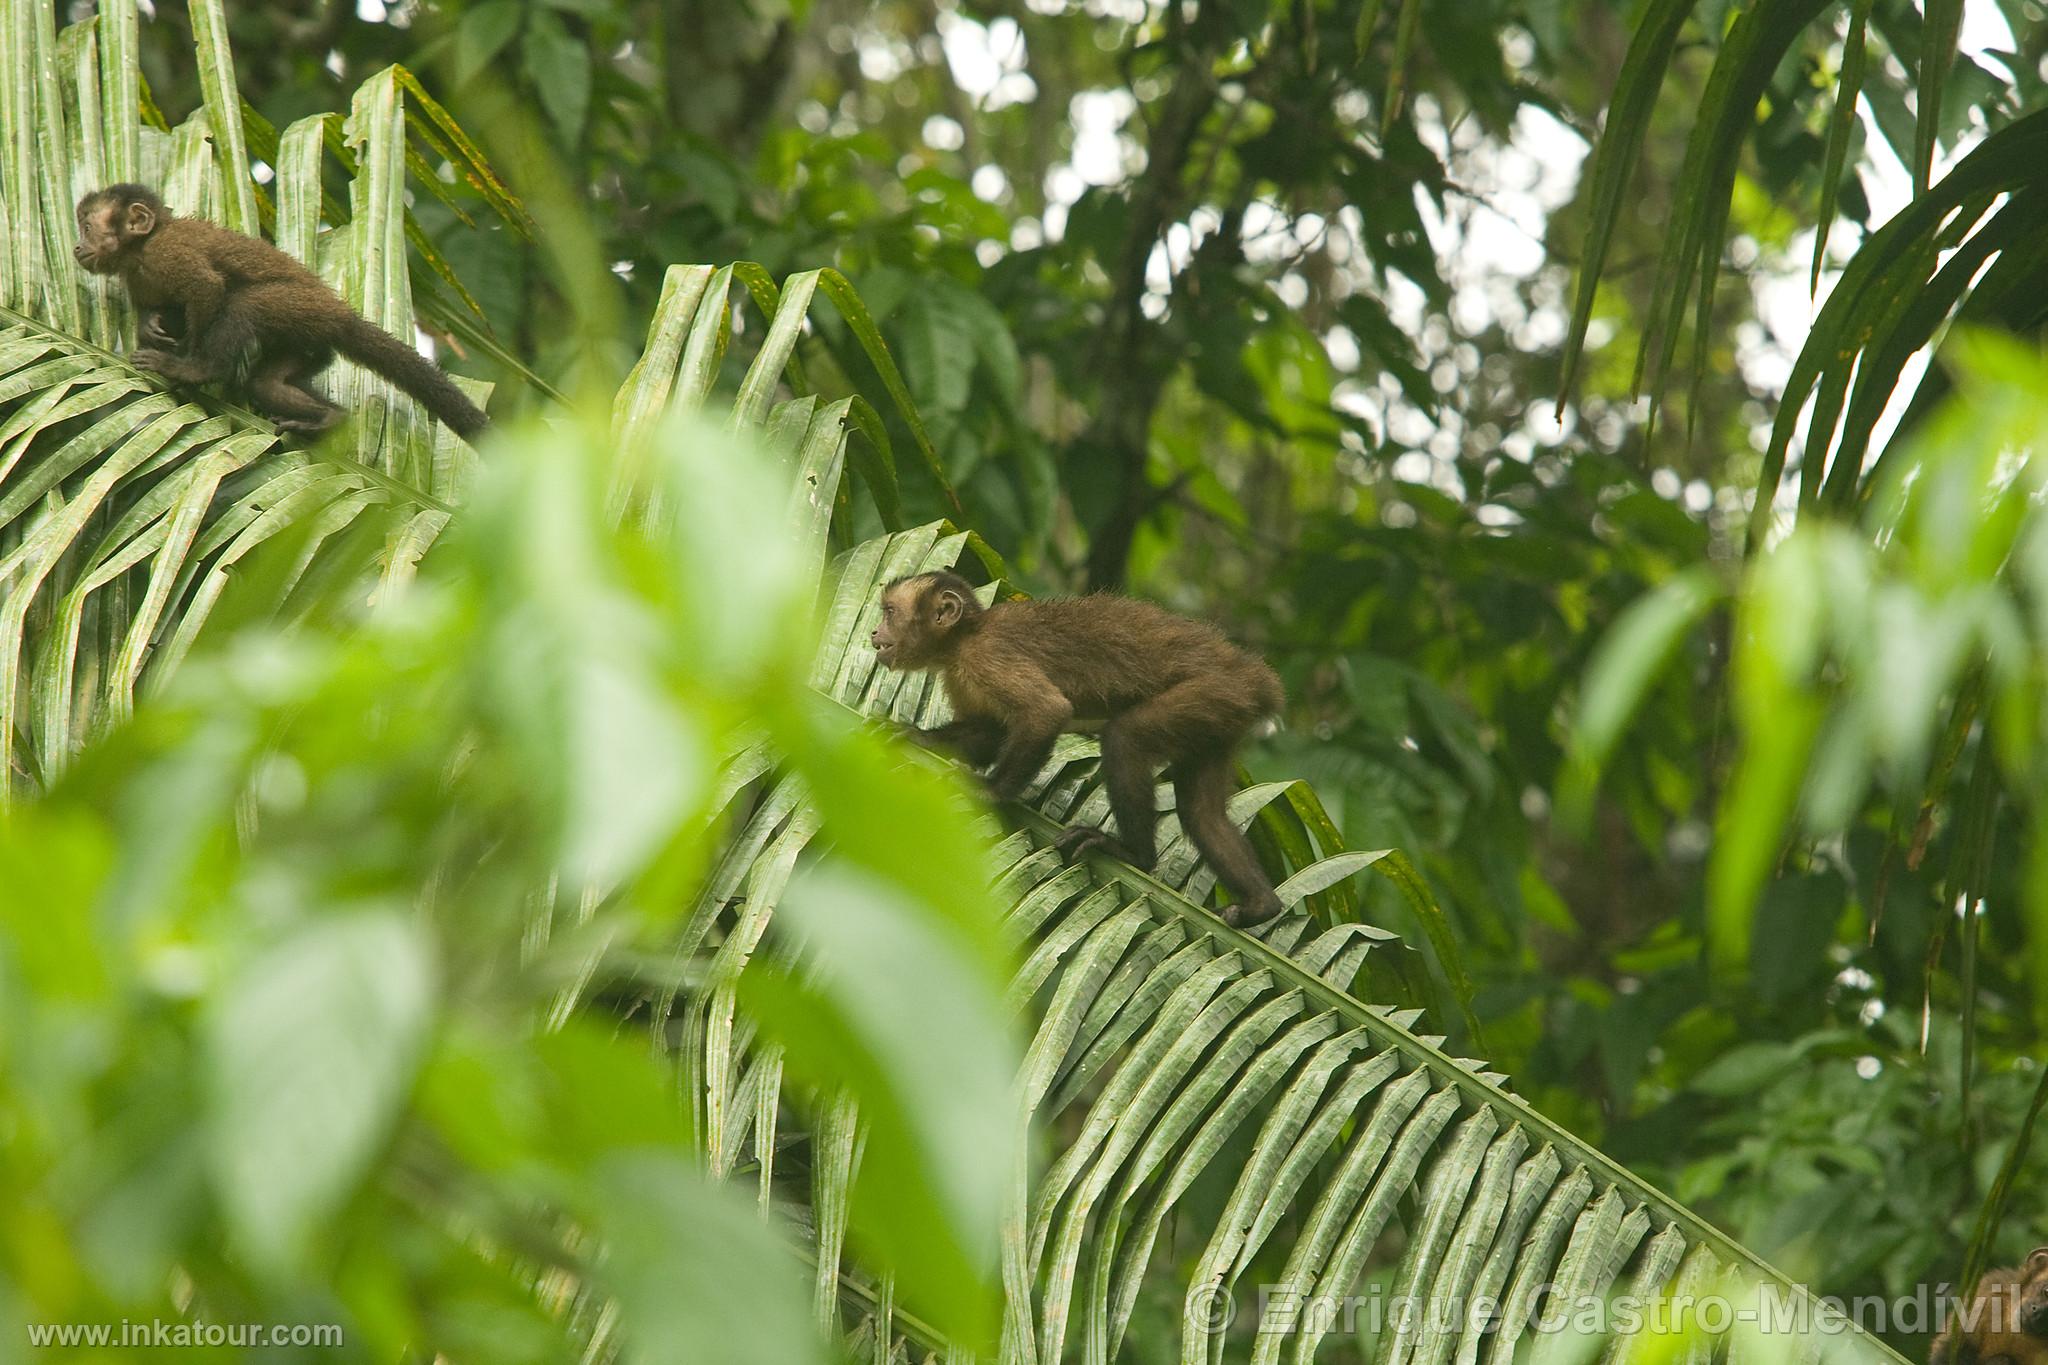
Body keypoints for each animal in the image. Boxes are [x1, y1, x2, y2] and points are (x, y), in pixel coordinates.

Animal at [73, 184, 491, 439]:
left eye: (88, 227)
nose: (78, 246)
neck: (140, 251)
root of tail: (341, 314)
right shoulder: (138, 276)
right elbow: (167, 308)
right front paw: (152, 325)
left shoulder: (168, 252)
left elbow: (207, 289)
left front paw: (191, 366)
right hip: (310, 341)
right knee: (269, 382)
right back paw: (331, 419)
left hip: (301, 308)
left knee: (243, 304)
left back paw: (205, 367)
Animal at [872, 564, 1286, 929]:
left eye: (890, 612)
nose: (875, 632)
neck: (962, 640)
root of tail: (1256, 677)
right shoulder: (961, 676)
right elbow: (988, 735)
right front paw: (918, 738)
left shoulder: (986, 655)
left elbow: (1045, 712)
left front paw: (991, 792)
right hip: (1224, 716)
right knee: (1202, 812)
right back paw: (1261, 905)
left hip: (1213, 692)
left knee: (1125, 738)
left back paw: (1135, 855)